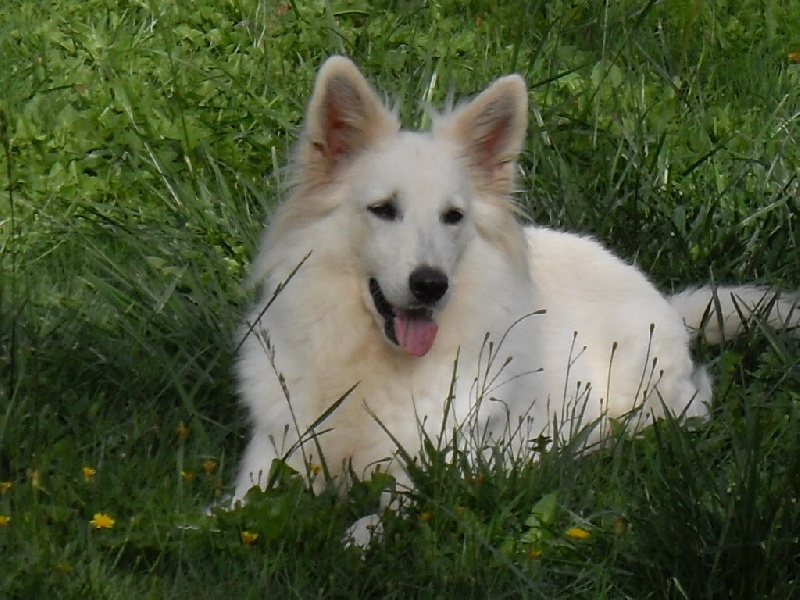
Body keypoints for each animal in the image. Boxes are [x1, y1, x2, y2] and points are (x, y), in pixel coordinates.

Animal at [230, 57, 792, 516]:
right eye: (383, 209)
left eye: (453, 217)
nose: (431, 286)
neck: (371, 366)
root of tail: (668, 302)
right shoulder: (275, 452)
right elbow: (230, 512)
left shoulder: (426, 473)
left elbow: (378, 519)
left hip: (646, 391)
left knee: (688, 404)